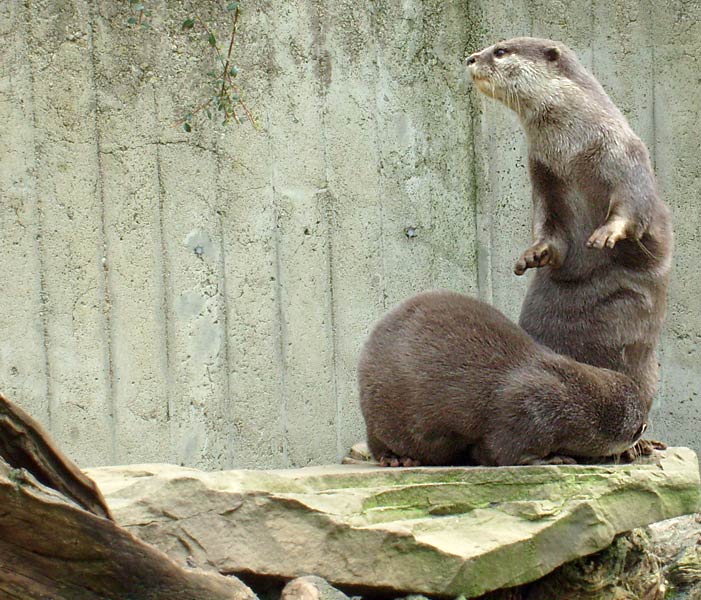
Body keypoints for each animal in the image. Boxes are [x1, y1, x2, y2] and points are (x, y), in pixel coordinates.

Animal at [358, 290, 648, 468]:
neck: (575, 398)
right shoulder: (530, 411)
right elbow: (506, 452)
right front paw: (555, 459)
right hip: (380, 416)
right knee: (377, 442)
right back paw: (396, 459)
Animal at [464, 38, 672, 418]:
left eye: (500, 51)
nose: (470, 58)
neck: (572, 148)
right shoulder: (543, 173)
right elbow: (549, 225)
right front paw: (533, 255)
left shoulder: (622, 153)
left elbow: (633, 204)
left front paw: (607, 233)